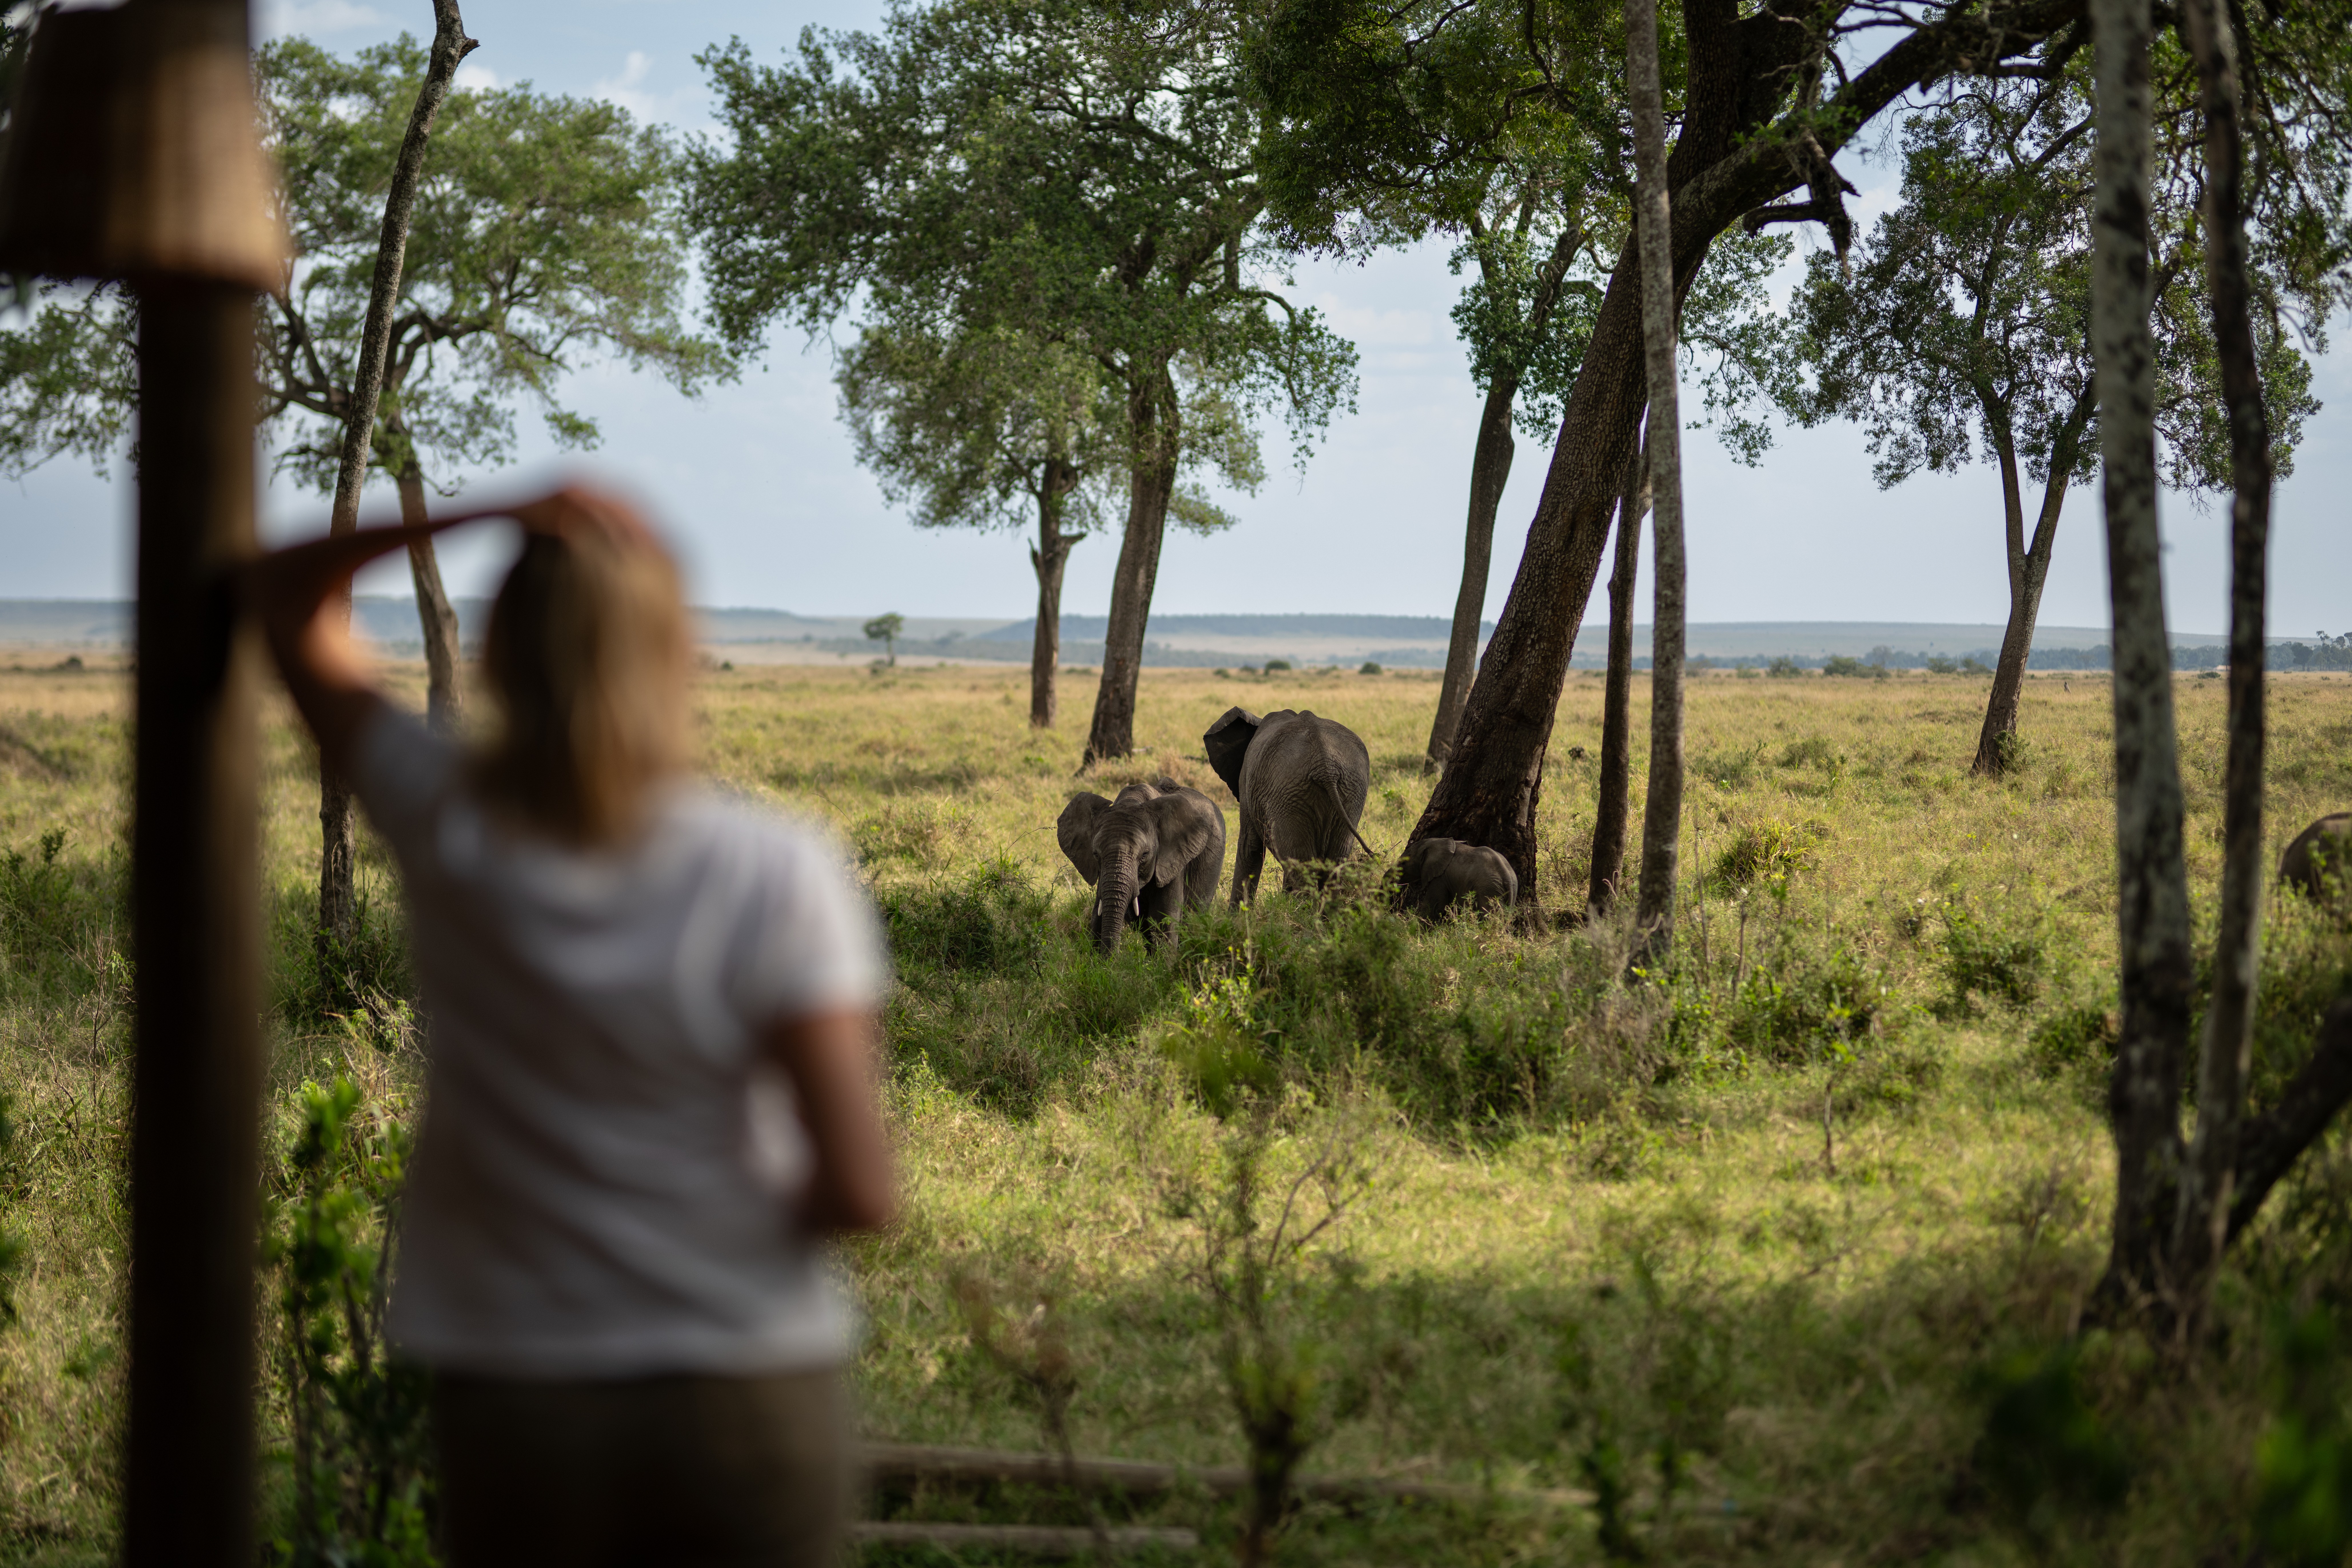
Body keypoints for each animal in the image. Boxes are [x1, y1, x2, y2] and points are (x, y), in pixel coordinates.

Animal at [1057, 779, 1226, 952]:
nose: (1113, 957)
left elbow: (1164, 918)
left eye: (1145, 855)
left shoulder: (1173, 860)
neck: (1132, 801)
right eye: (1096, 855)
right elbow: (1098, 915)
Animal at [1202, 706, 1373, 904]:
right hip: (1350, 791)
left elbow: (1249, 847)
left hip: (1290, 795)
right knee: (1334, 864)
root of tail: (1325, 766)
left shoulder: (1247, 782)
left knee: (1300, 866)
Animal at [1396, 837, 1518, 921]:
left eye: (1403, 863)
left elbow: (1433, 907)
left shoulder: (1440, 878)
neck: (1438, 841)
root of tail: (1507, 876)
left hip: (1489, 890)